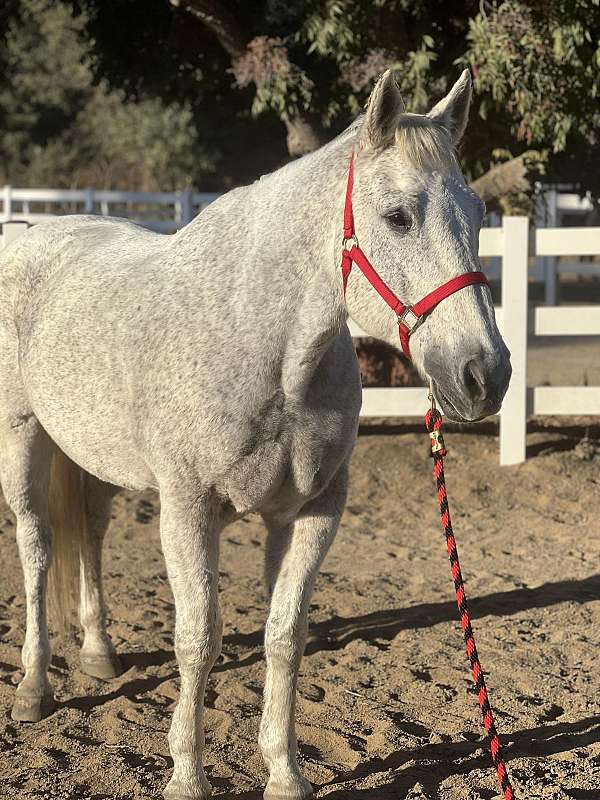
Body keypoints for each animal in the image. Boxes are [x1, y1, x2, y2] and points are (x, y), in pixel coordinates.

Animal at [0, 70, 508, 800]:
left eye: (478, 214)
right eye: (397, 217)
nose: (484, 374)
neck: (263, 347)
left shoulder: (311, 514)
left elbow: (284, 636)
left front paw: (285, 772)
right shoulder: (187, 512)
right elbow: (198, 639)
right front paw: (186, 775)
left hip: (97, 456)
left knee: (89, 534)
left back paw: (98, 652)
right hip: (23, 436)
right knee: (37, 546)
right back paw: (34, 688)